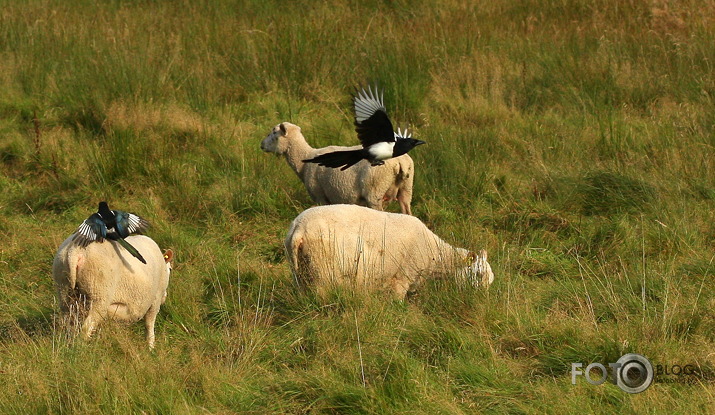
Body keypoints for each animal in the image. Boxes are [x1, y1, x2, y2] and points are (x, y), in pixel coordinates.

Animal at [262, 121, 416, 214]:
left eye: (274, 132)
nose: (261, 144)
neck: (304, 159)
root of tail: (402, 161)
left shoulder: (320, 195)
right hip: (406, 188)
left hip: (375, 191)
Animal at [282, 205, 496, 300]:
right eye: (478, 274)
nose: (481, 301)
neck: (435, 253)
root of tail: (300, 228)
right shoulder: (402, 278)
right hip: (323, 274)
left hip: (301, 272)